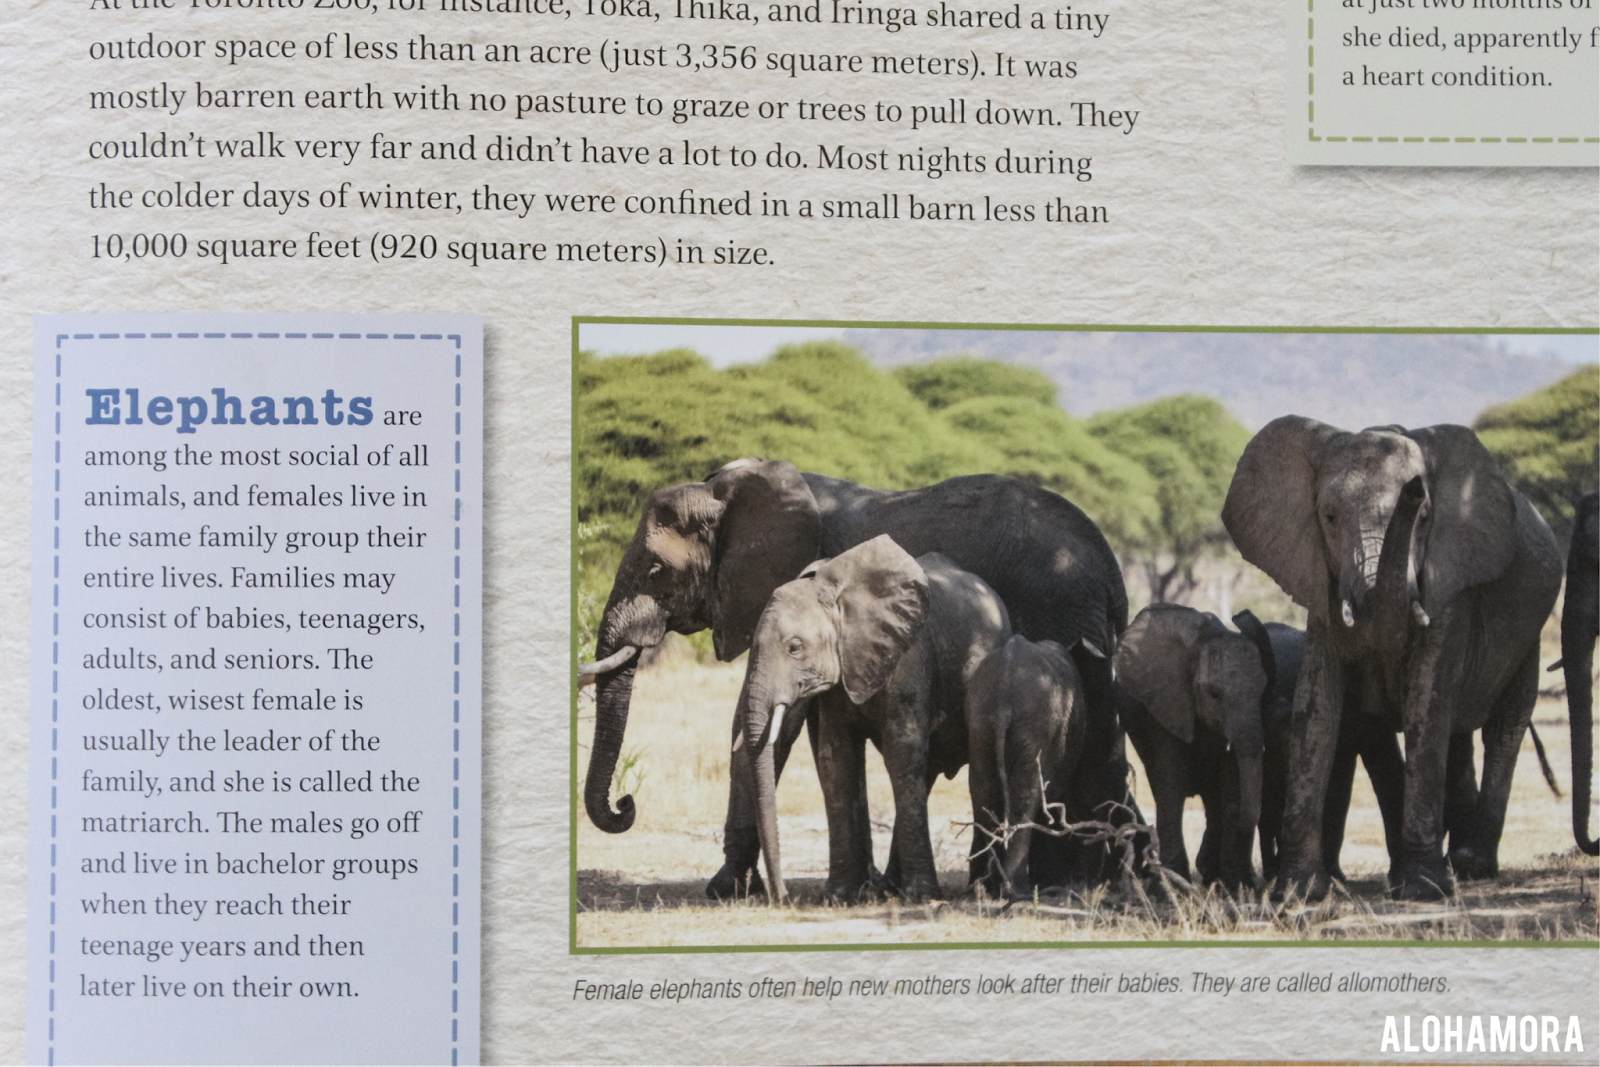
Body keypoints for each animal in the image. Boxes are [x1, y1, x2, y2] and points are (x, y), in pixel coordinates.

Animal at [734, 536, 1012, 903]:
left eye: (794, 647)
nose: (782, 896)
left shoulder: (908, 657)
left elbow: (901, 751)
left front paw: (923, 896)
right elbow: (836, 759)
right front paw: (839, 897)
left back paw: (980, 888)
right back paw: (890, 887)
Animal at [965, 634, 1100, 900]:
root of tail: (1004, 691)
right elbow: (1056, 792)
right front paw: (1052, 880)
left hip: (979, 720)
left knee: (983, 790)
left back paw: (983, 889)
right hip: (1036, 725)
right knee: (1026, 795)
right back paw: (1017, 891)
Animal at [1114, 605, 1276, 888]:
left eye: (1263, 692)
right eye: (1214, 694)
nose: (1241, 615)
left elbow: (1231, 781)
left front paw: (1235, 886)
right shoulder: (1166, 705)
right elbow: (1171, 781)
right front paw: (1171, 885)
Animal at [1223, 418, 1562, 900]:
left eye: (1425, 517)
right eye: (1329, 516)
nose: (1415, 488)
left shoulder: (1449, 583)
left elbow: (1426, 700)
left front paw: (1422, 888)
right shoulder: (1321, 585)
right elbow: (1319, 705)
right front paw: (1297, 891)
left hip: (1530, 627)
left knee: (1503, 726)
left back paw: (1471, 866)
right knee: (1448, 734)